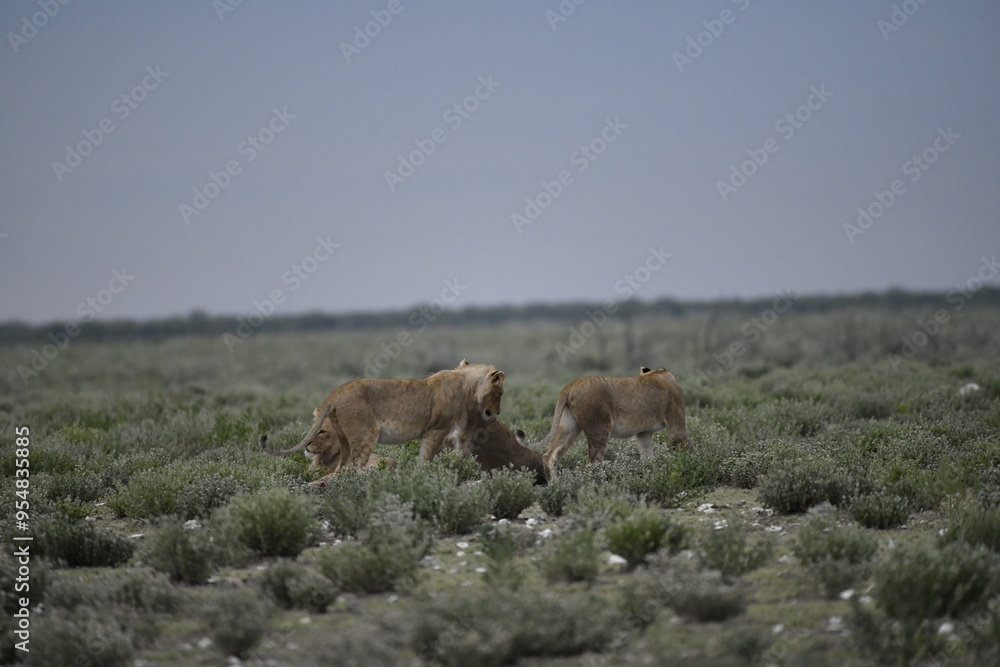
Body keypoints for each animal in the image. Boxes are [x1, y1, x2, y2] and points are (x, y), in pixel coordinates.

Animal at [259, 360, 505, 483]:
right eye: (500, 393)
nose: (496, 412)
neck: (465, 384)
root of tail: (336, 392)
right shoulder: (435, 430)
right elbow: (425, 459)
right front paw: (423, 476)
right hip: (365, 436)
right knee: (356, 468)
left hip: (344, 440)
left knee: (341, 469)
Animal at [540, 367, 692, 480]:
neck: (659, 373)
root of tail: (571, 385)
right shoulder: (676, 425)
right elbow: (687, 447)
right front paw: (692, 466)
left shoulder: (644, 433)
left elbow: (647, 457)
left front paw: (651, 473)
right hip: (600, 429)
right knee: (592, 463)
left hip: (569, 428)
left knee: (550, 456)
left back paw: (556, 486)